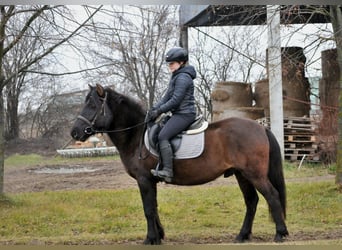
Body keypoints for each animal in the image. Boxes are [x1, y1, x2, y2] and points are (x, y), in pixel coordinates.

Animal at [70, 84, 288, 244]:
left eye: (92, 106)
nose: (74, 132)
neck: (136, 135)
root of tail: (261, 128)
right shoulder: (150, 181)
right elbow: (154, 207)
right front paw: (159, 236)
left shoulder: (144, 179)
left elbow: (148, 209)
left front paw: (150, 239)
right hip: (241, 174)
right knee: (251, 201)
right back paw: (242, 235)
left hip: (254, 174)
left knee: (272, 196)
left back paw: (280, 233)